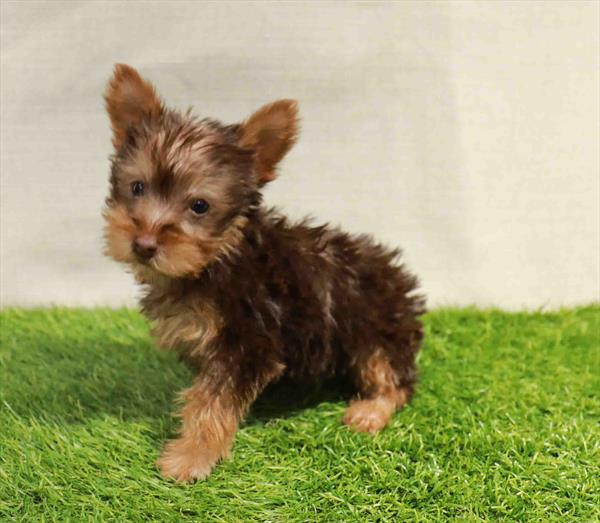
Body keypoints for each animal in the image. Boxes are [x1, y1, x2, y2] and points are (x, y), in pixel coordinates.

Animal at [103, 64, 424, 484]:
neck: (217, 259)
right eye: (137, 187)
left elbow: (212, 400)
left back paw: (370, 410)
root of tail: (396, 274)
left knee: (392, 378)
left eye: (200, 206)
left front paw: (191, 455)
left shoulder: (249, 340)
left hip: (377, 328)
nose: (143, 244)